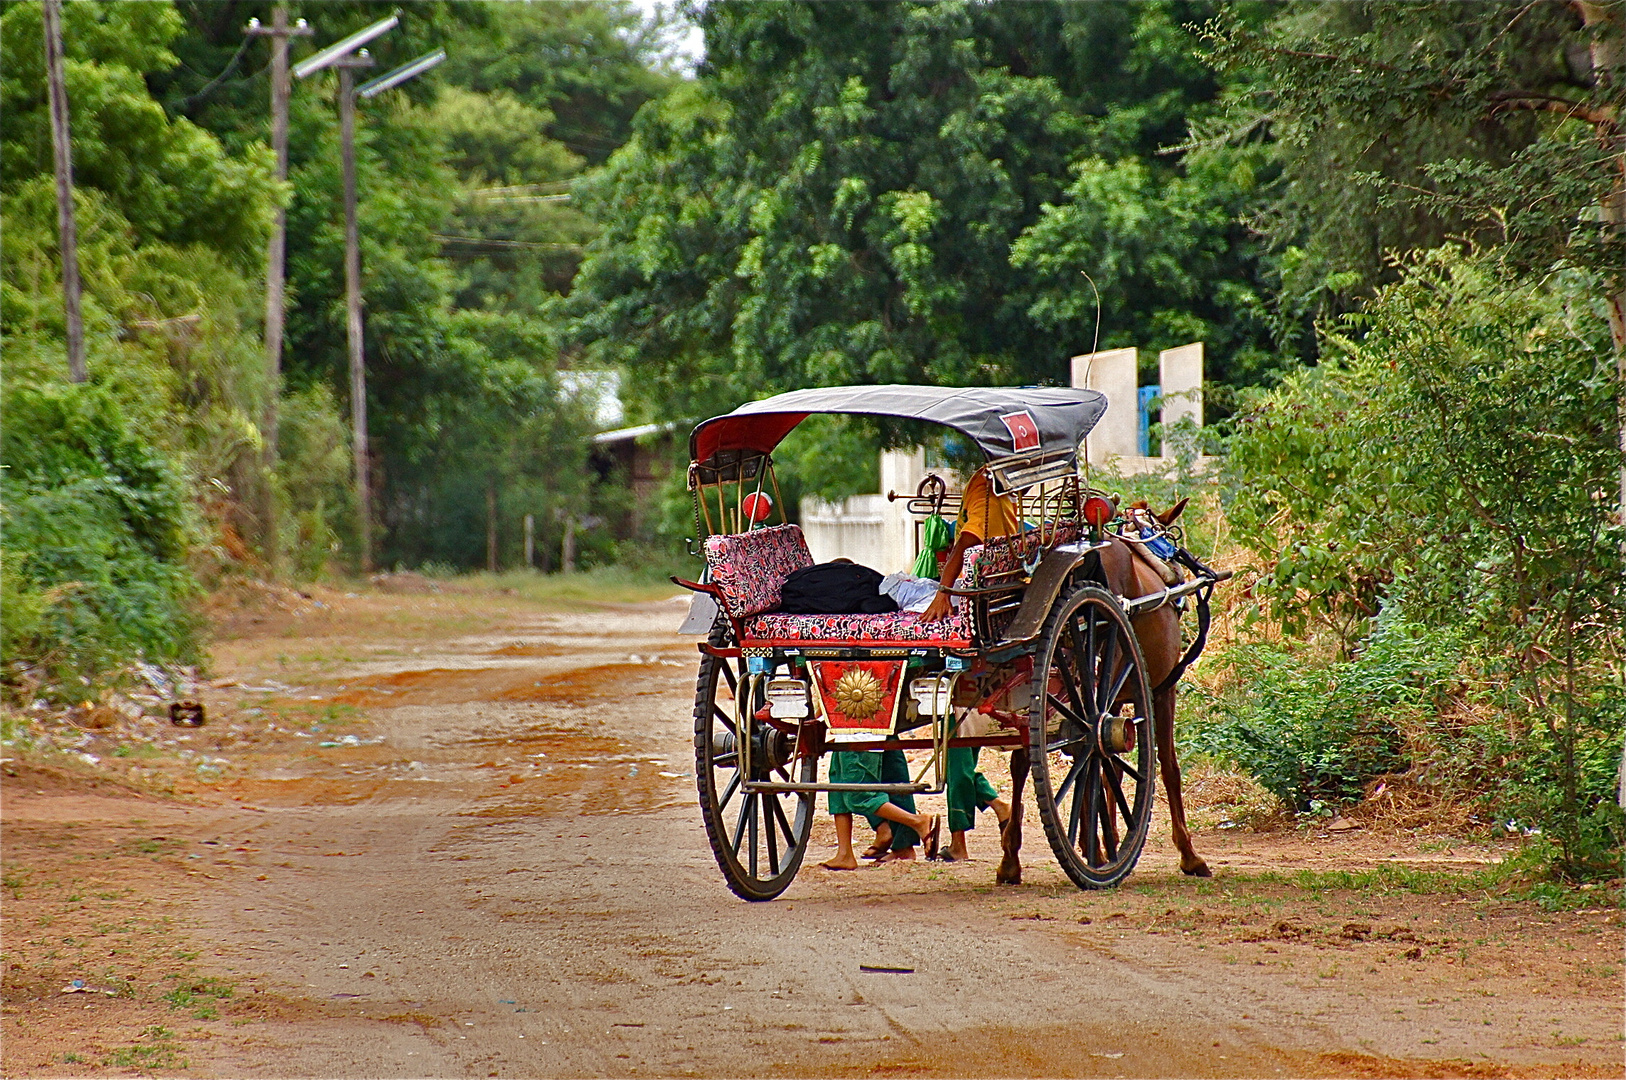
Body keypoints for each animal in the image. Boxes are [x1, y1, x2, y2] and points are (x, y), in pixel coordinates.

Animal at [988, 497, 1209, 884]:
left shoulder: (1115, 695)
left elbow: (1111, 768)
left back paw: (1011, 860)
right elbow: (1165, 764)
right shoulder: (1160, 690)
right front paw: (1187, 854)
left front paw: (1105, 841)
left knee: (1024, 758)